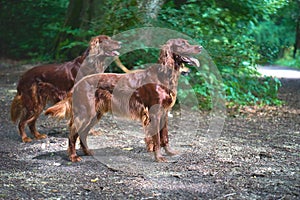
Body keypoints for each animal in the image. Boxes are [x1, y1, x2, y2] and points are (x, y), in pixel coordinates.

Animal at [45, 38, 202, 162]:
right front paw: (159, 157)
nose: (200, 47)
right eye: (183, 44)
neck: (164, 76)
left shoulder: (164, 113)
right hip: (85, 114)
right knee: (73, 134)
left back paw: (88, 152)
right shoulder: (155, 113)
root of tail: (78, 84)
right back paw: (73, 157)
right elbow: (157, 138)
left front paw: (169, 152)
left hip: (95, 114)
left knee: (82, 133)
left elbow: (165, 136)